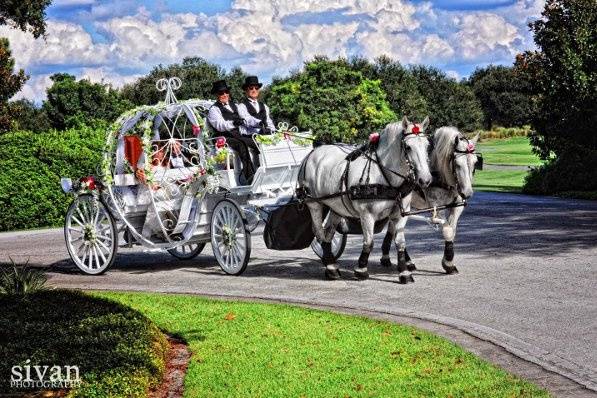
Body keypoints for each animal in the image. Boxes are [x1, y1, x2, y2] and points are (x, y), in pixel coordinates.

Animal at [300, 116, 430, 284]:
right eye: (408, 147)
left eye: (427, 145)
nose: (425, 180)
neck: (383, 175)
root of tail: (313, 152)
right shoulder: (367, 214)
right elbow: (369, 242)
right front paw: (361, 269)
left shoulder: (400, 214)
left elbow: (400, 243)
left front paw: (404, 272)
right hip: (314, 203)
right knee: (319, 233)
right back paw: (330, 267)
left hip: (336, 206)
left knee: (328, 233)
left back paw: (331, 265)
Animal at [380, 126, 482, 276]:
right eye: (457, 164)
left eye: (475, 162)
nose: (467, 193)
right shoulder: (436, 207)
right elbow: (447, 229)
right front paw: (448, 263)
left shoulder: (457, 206)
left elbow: (452, 230)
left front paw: (449, 261)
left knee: (394, 228)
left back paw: (389, 257)